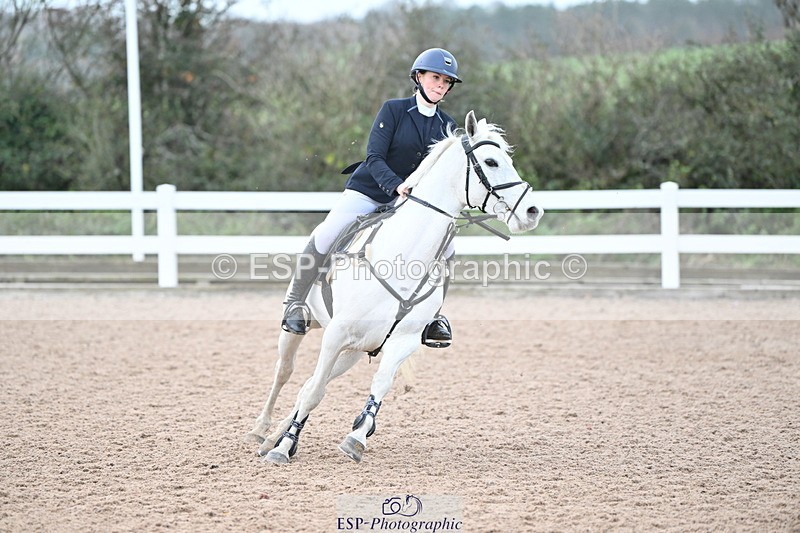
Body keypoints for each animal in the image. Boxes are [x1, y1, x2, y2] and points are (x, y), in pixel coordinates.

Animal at [245, 110, 544, 464]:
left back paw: (273, 436)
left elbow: (378, 385)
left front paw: (356, 437)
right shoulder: (336, 335)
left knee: (308, 382)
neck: (403, 254)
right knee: (286, 372)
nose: (532, 212)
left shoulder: (403, 340)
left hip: (354, 351)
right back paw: (262, 431)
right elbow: (315, 391)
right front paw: (285, 447)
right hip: (306, 328)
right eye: (491, 161)